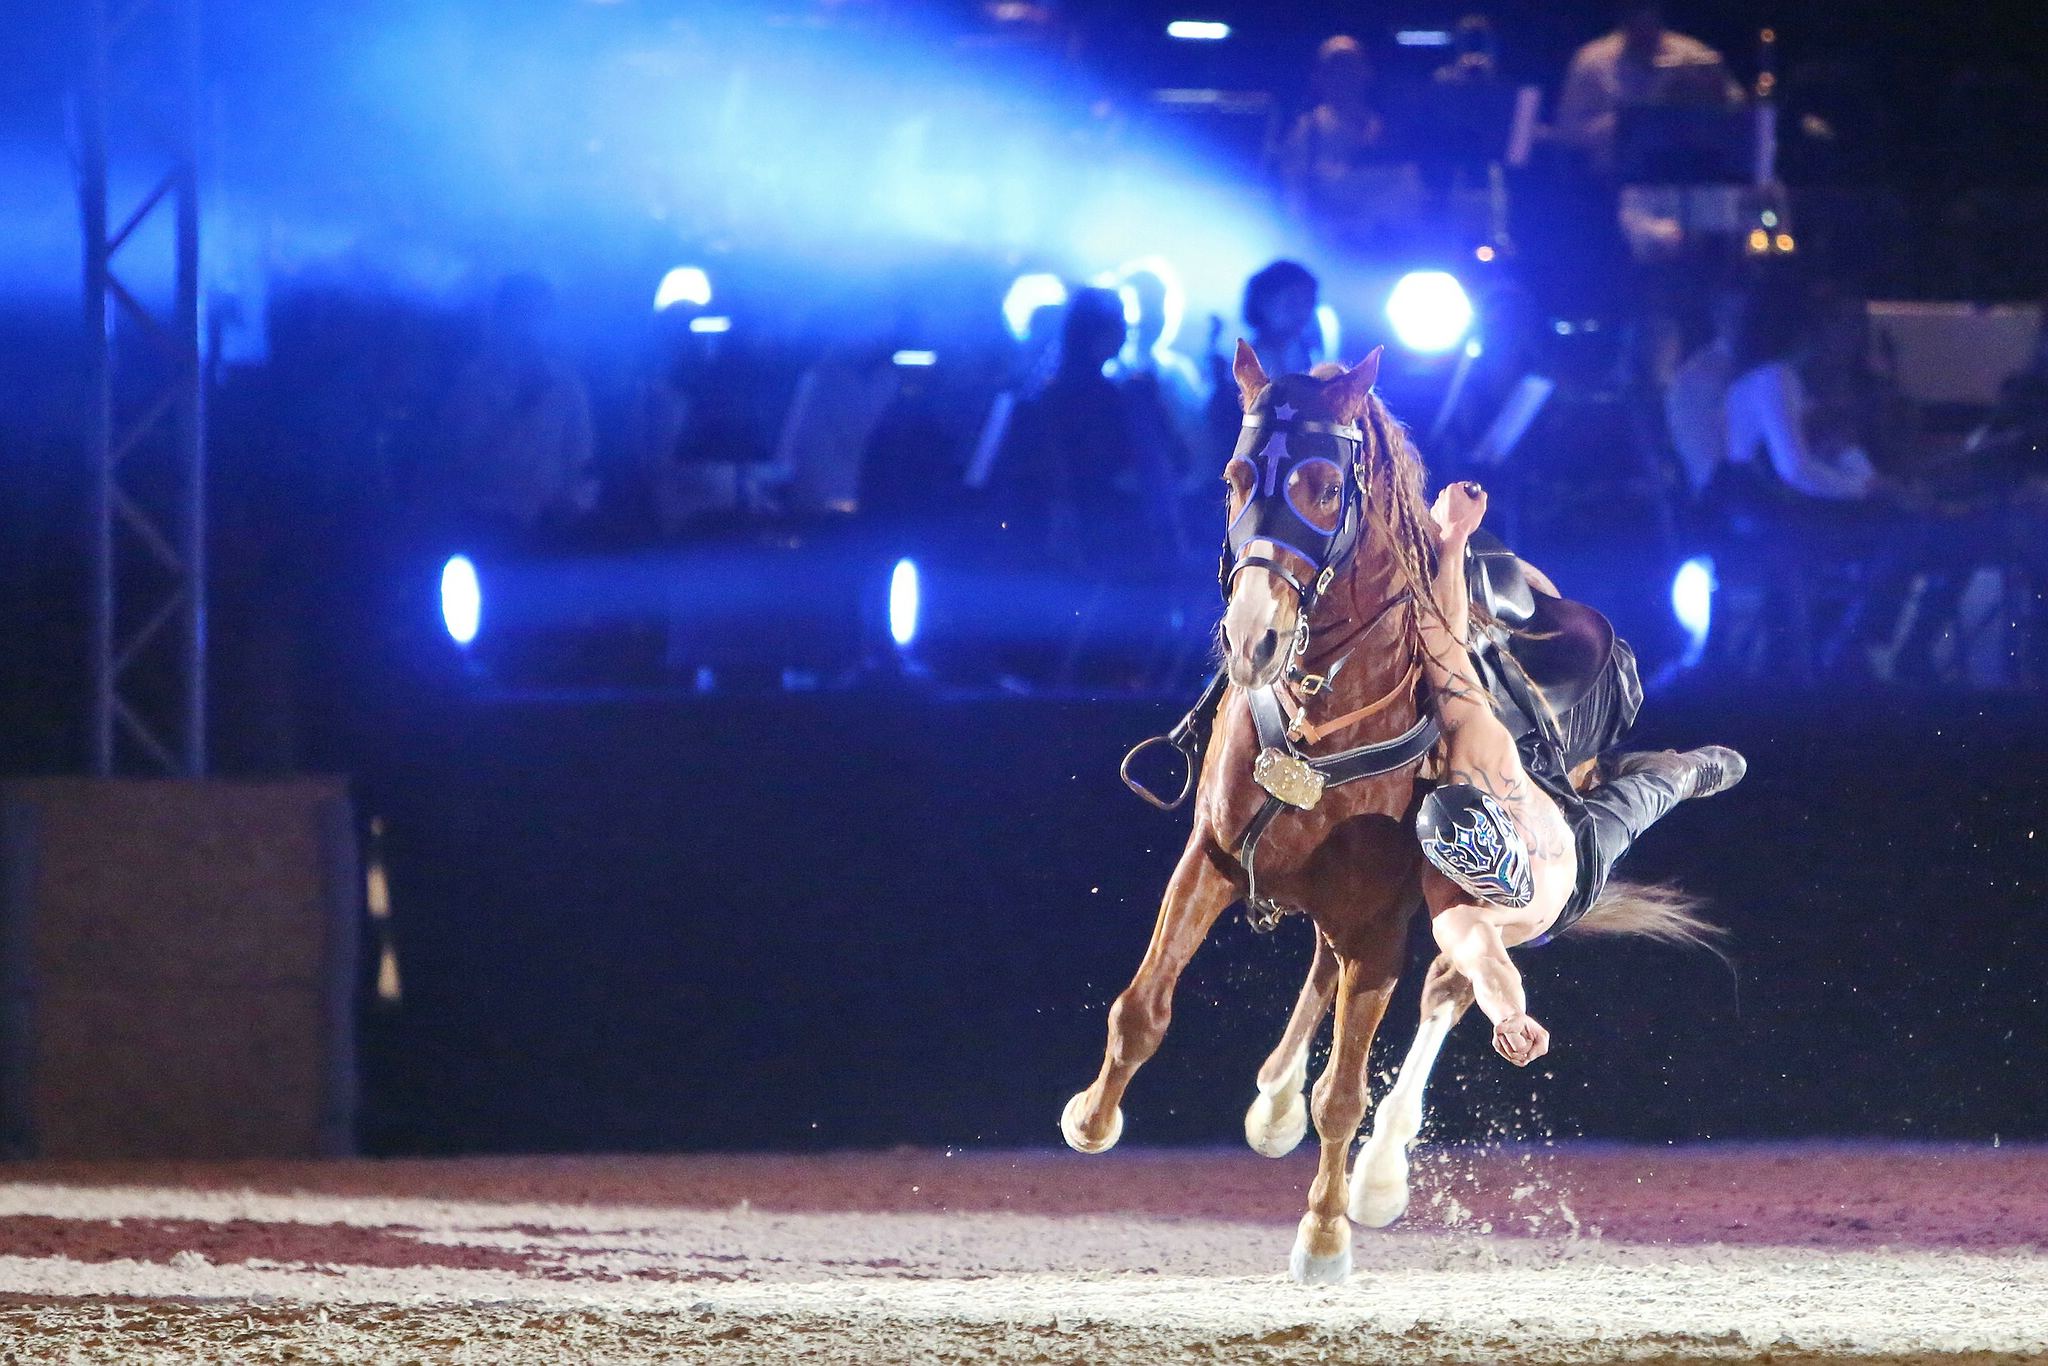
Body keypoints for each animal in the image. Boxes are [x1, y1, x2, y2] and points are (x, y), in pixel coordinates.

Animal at [1061, 341, 1448, 1284]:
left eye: (1323, 486)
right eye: (1236, 479)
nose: (1251, 638)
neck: (1327, 721)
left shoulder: (1384, 924)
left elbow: (1347, 1091)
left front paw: (1326, 1232)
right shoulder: (1211, 857)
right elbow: (1142, 1008)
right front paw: (1092, 1115)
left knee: (1447, 994)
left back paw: (1379, 1175)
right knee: (1320, 969)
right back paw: (1275, 1104)